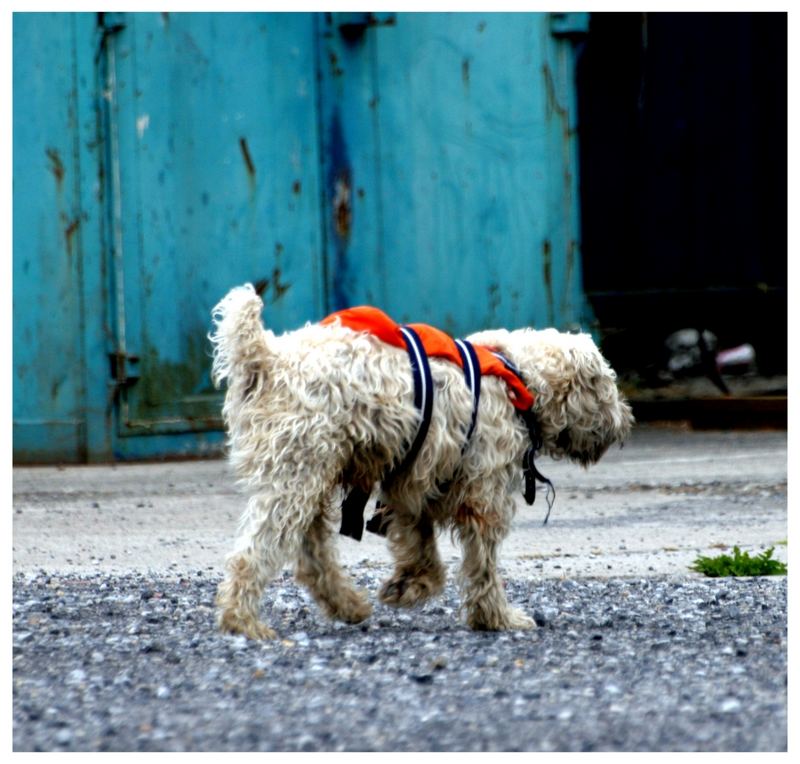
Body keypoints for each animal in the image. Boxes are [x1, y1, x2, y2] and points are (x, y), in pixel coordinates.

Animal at [209, 282, 636, 640]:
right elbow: (482, 564)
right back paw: (243, 622)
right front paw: (495, 618)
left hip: (311, 477)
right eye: (608, 386)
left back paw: (348, 605)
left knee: (313, 559)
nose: (626, 421)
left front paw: (408, 586)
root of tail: (266, 359)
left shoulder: (413, 484)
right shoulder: (483, 495)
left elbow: (421, 544)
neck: (519, 378)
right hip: (295, 477)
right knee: (252, 555)